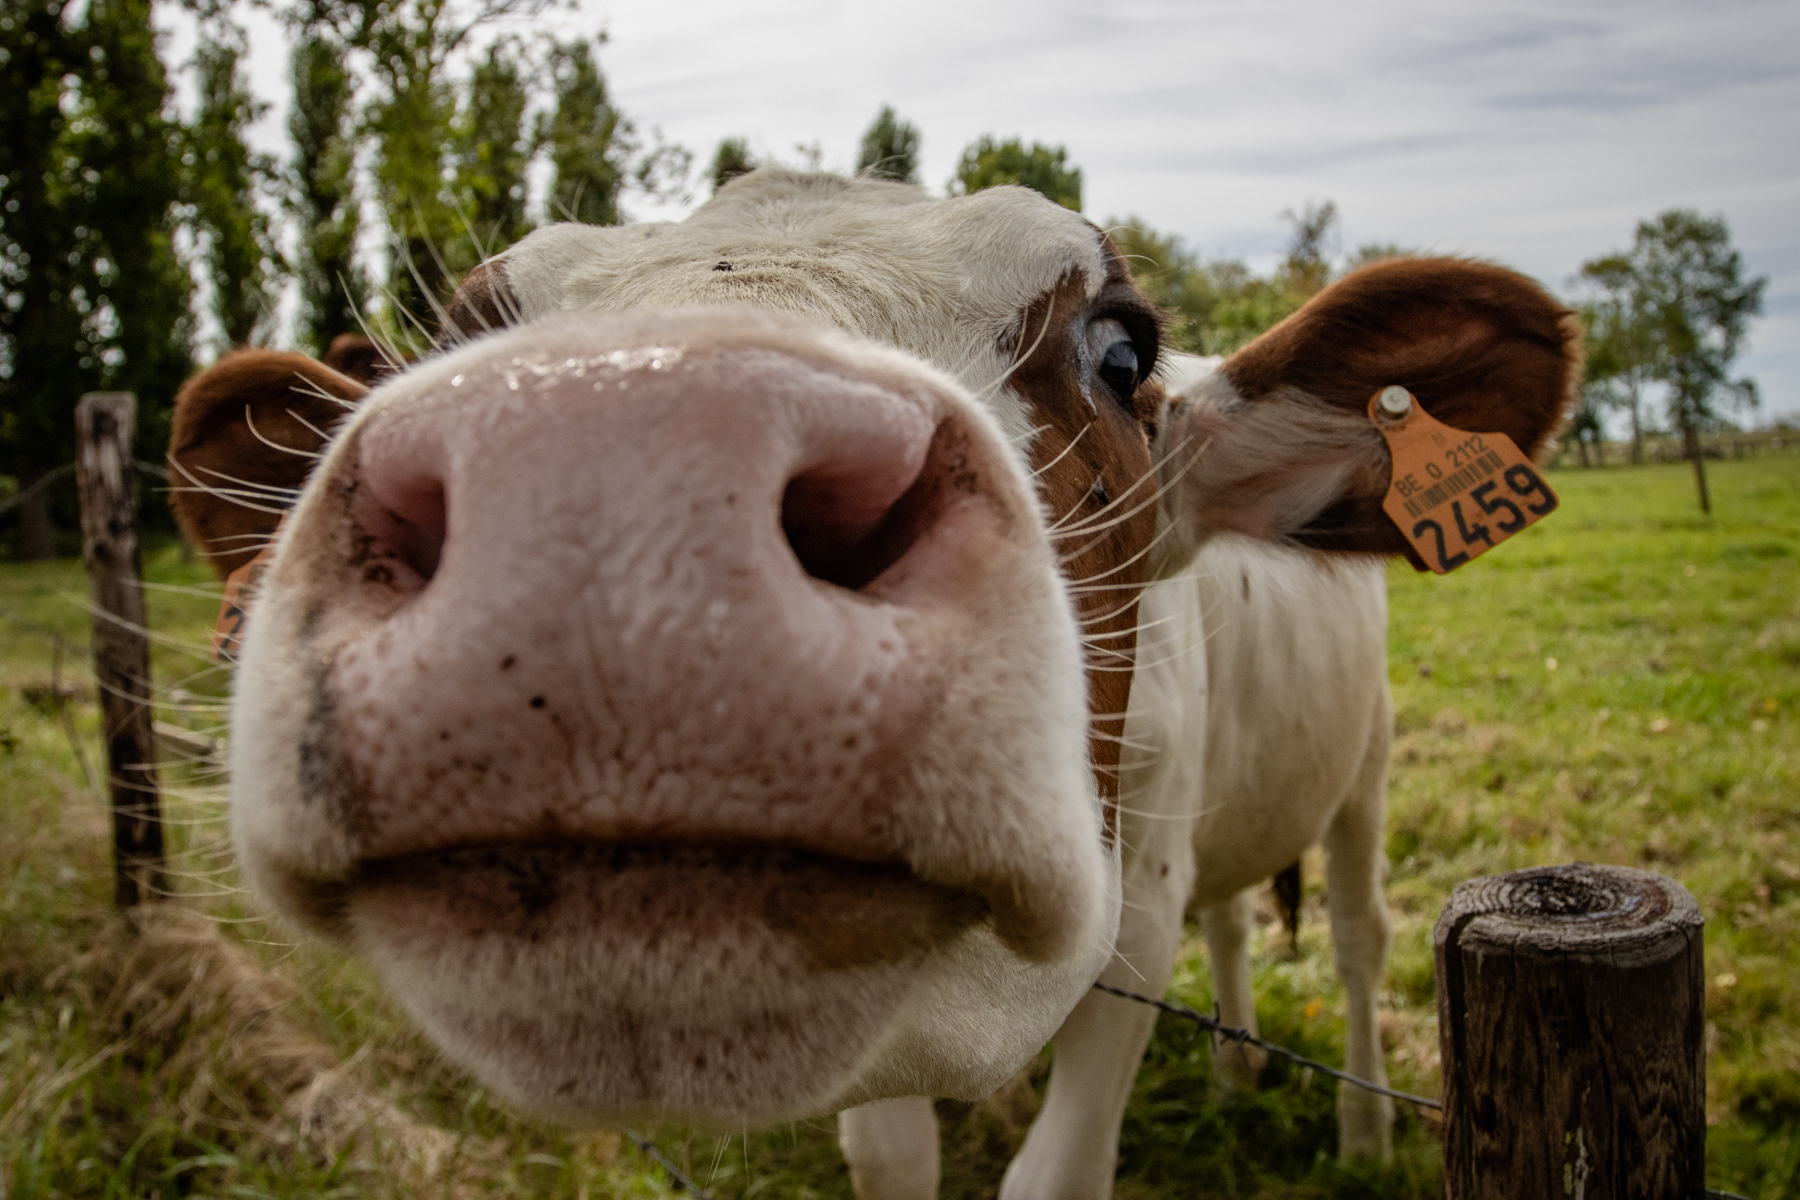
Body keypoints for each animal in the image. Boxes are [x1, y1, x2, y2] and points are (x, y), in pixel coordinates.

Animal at [169, 168, 1576, 1198]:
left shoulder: (1137, 918)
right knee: (1241, 920)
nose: (620, 460)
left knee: (1354, 936)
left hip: (1369, 762)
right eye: (456, 335)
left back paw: (1360, 1136)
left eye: (1121, 354)